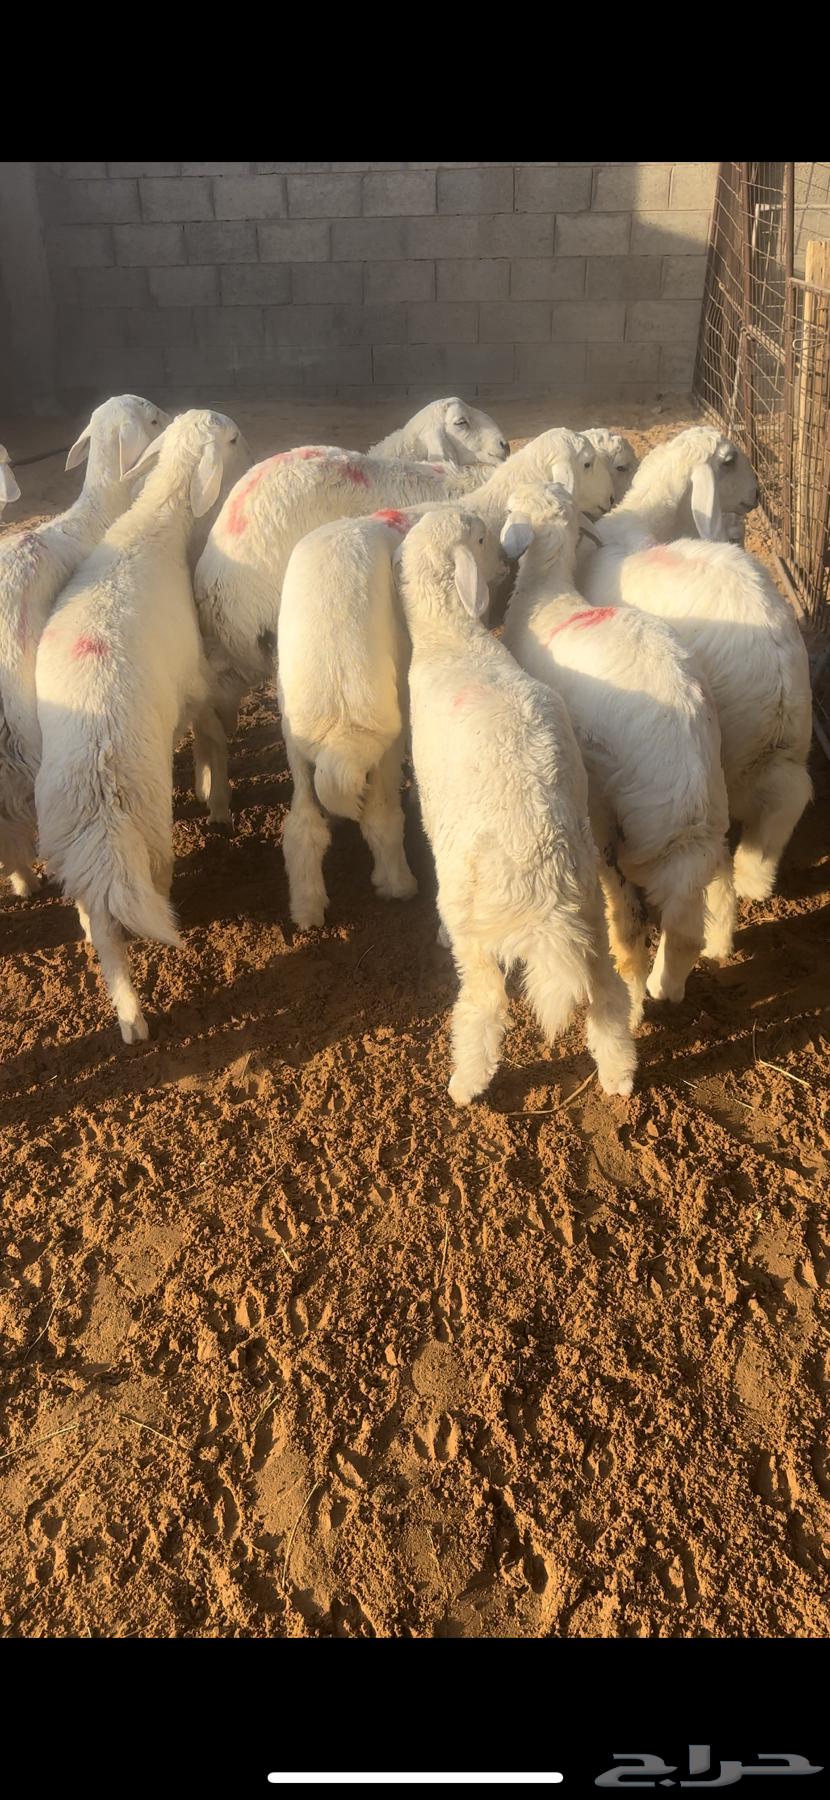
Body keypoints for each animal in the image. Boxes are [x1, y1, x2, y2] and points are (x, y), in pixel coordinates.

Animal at [34, 410, 244, 1044]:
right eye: (231, 439)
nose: (248, 443)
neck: (153, 524)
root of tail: (97, 781)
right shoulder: (193, 680)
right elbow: (210, 731)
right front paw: (216, 798)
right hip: (150, 822)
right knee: (149, 887)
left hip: (71, 833)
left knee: (98, 918)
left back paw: (126, 1011)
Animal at [277, 431, 613, 930]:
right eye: (588, 462)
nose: (609, 501)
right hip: (385, 720)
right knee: (380, 815)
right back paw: (397, 883)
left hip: (293, 729)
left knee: (301, 826)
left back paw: (306, 907)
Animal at [393, 507, 637, 1107]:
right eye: (481, 537)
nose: (505, 559)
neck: (452, 638)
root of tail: (541, 884)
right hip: (588, 906)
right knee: (606, 993)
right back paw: (618, 1076)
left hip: (477, 931)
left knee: (484, 1004)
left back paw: (467, 1082)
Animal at [500, 481, 736, 1023]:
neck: (545, 593)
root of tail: (686, 786)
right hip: (710, 817)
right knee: (692, 917)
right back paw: (673, 982)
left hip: (613, 819)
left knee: (628, 924)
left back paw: (633, 1003)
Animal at [577, 432, 812, 902]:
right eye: (730, 461)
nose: (757, 495)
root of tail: (780, 701)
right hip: (781, 756)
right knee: (787, 801)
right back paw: (755, 878)